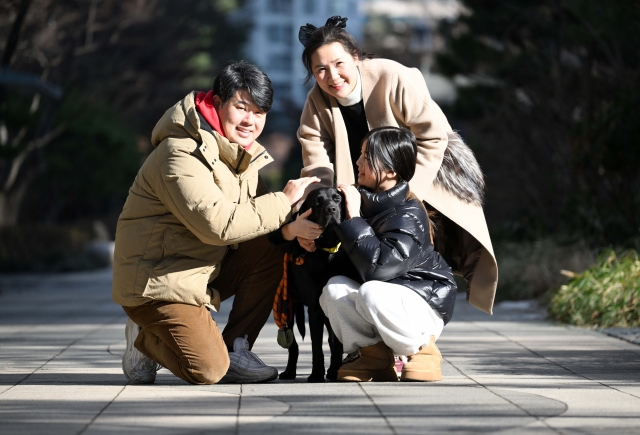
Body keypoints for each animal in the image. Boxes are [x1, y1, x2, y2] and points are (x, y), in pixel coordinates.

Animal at [270, 186, 358, 382]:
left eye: (337, 198)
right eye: (317, 201)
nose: (331, 209)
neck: (327, 251)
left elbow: (335, 342)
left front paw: (334, 371)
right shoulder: (315, 308)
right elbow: (316, 345)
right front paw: (317, 373)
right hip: (288, 307)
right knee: (293, 344)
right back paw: (289, 371)